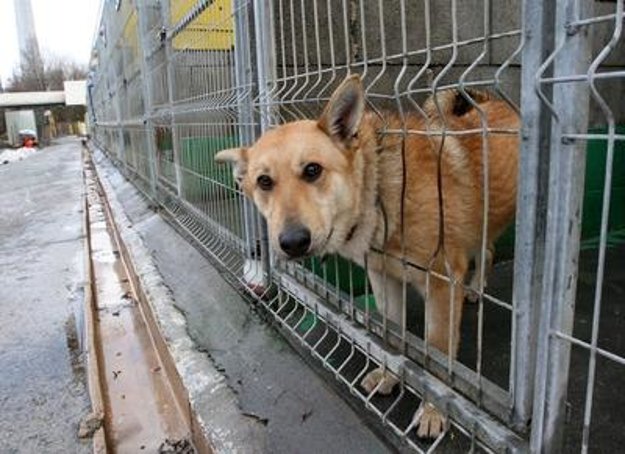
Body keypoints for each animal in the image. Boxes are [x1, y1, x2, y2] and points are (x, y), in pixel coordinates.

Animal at [217, 76, 520, 438]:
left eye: (312, 170)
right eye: (264, 182)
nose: (292, 242)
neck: (379, 193)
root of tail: (493, 101)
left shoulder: (442, 285)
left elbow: (436, 352)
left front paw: (433, 411)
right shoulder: (383, 279)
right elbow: (391, 340)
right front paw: (390, 378)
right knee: (486, 250)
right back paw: (474, 289)